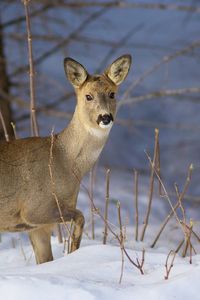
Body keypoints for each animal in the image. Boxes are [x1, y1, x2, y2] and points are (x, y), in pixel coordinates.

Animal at [0, 55, 132, 264]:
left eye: (112, 94)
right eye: (88, 96)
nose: (105, 117)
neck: (63, 160)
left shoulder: (38, 227)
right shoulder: (33, 209)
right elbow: (81, 216)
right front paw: (73, 250)